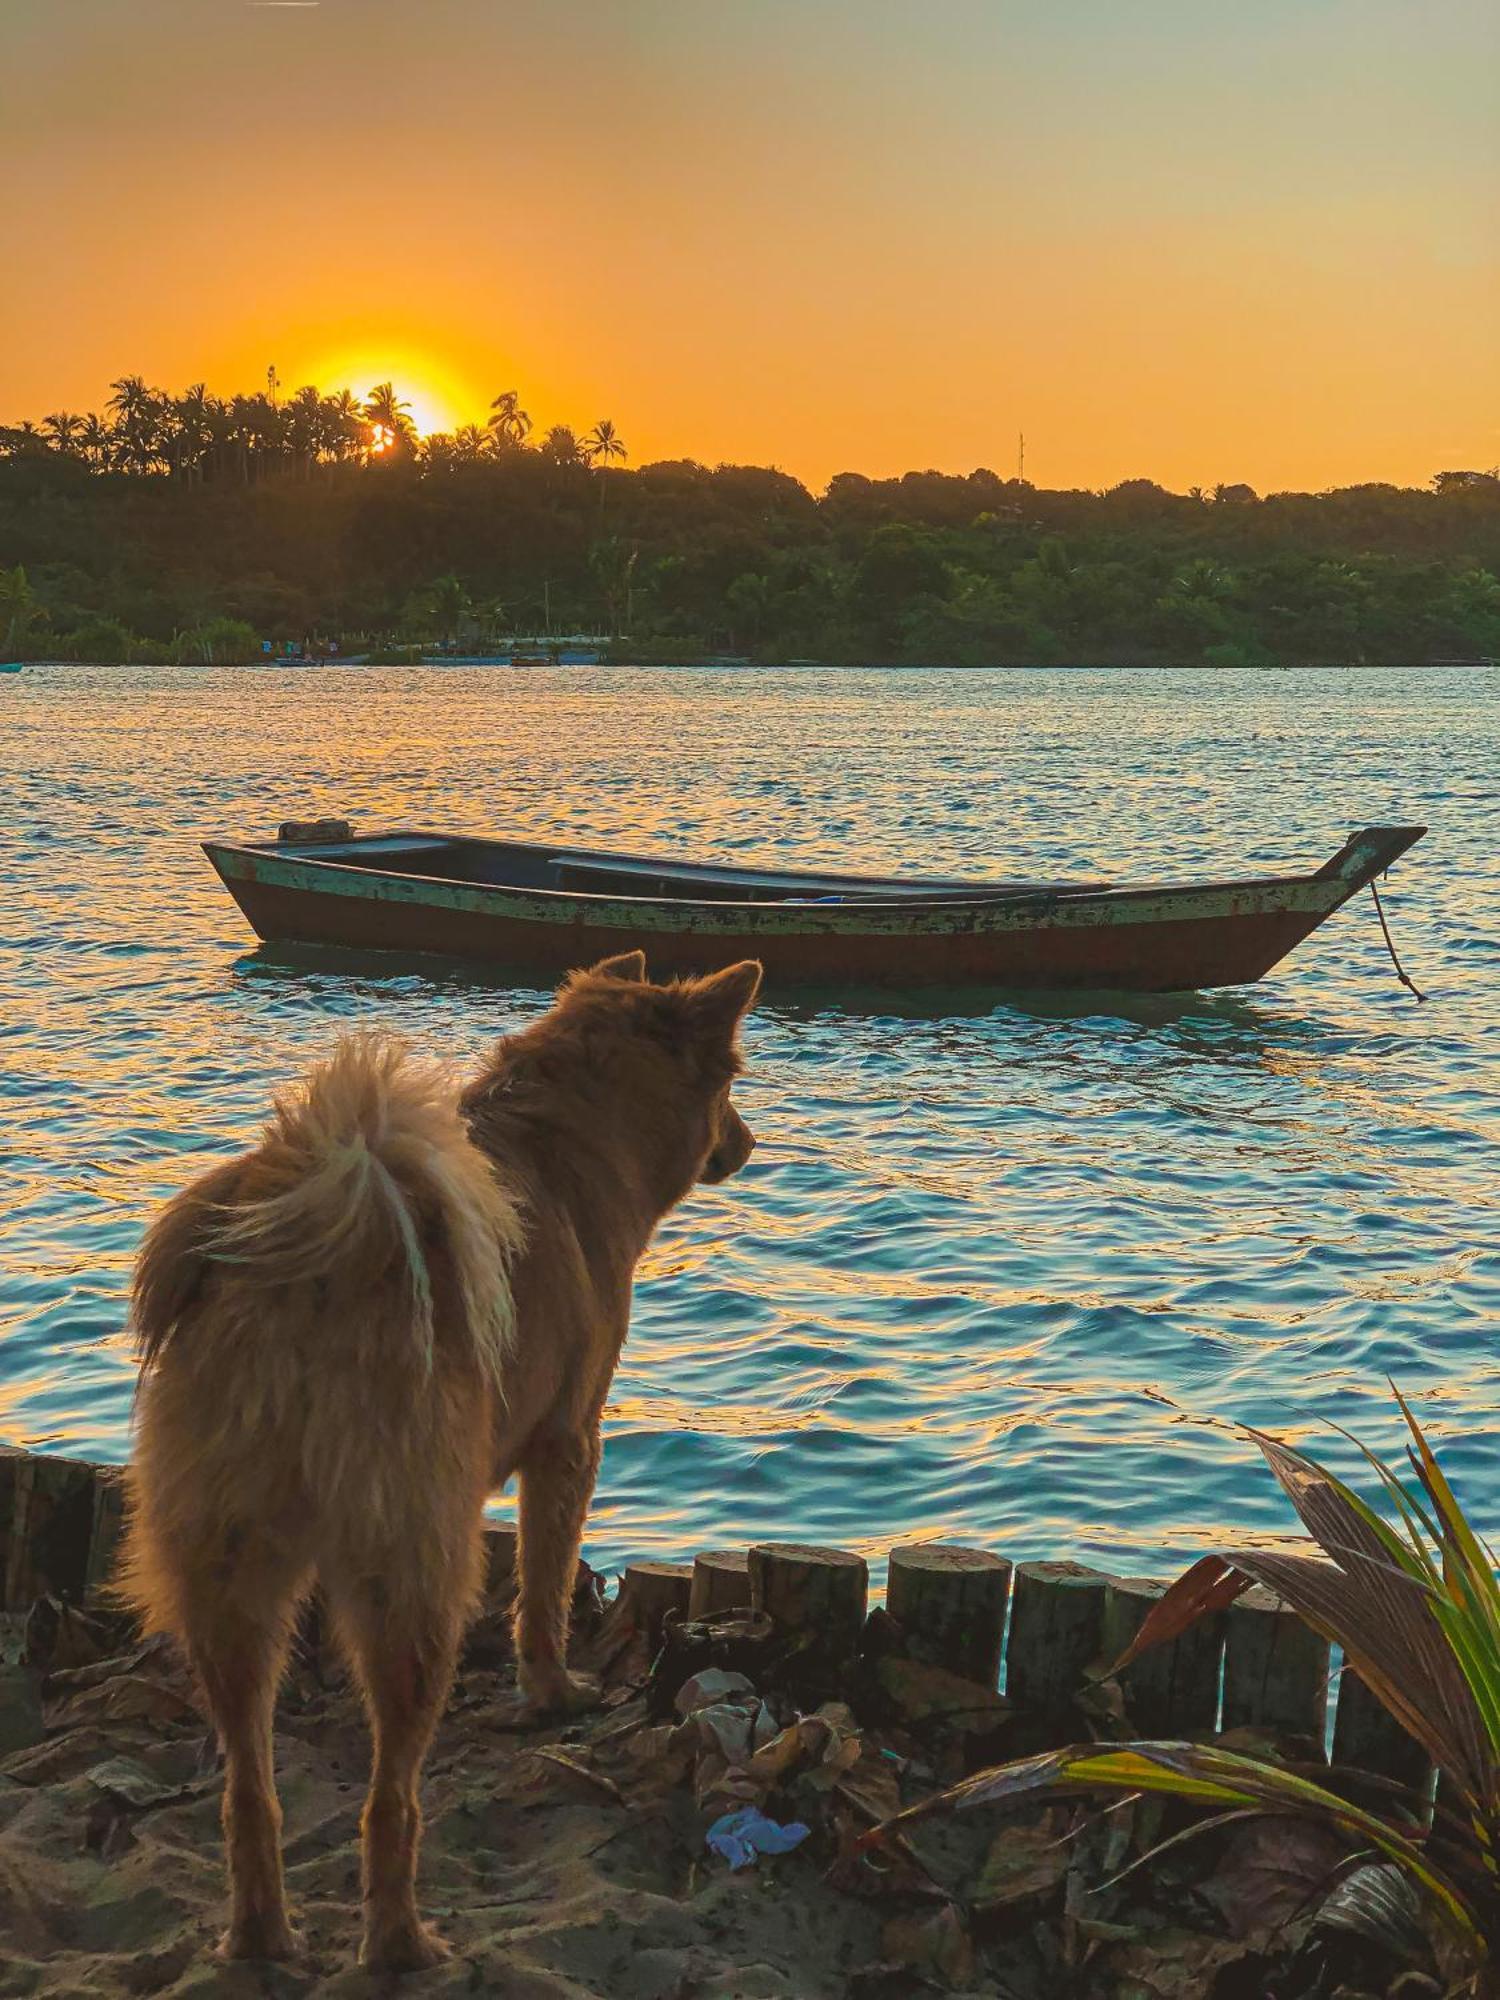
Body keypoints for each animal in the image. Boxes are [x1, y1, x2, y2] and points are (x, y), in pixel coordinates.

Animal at [120, 952, 764, 1968]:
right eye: (732, 1087)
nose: (746, 1140)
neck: (571, 1137)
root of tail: (307, 1267)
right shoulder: (569, 1446)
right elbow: (543, 1593)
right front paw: (553, 1695)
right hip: (414, 1576)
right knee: (391, 1799)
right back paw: (400, 1945)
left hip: (229, 1577)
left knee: (249, 1788)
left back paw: (261, 1935)